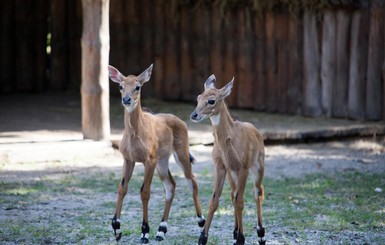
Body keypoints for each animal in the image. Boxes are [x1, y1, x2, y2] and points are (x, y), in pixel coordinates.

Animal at [107, 64, 204, 242]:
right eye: (121, 86)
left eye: (137, 86)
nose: (126, 99)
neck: (135, 134)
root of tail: (180, 121)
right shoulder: (128, 159)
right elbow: (122, 188)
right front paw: (117, 229)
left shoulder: (149, 160)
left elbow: (145, 192)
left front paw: (145, 232)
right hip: (162, 161)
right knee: (171, 185)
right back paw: (161, 231)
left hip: (180, 154)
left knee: (192, 181)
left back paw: (201, 223)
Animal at [190, 75, 268, 245]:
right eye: (198, 98)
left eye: (211, 100)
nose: (194, 115)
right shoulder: (221, 167)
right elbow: (214, 200)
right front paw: (202, 238)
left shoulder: (243, 168)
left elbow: (240, 202)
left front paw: (241, 239)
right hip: (232, 174)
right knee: (233, 194)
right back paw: (234, 233)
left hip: (257, 167)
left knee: (257, 192)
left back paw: (261, 234)